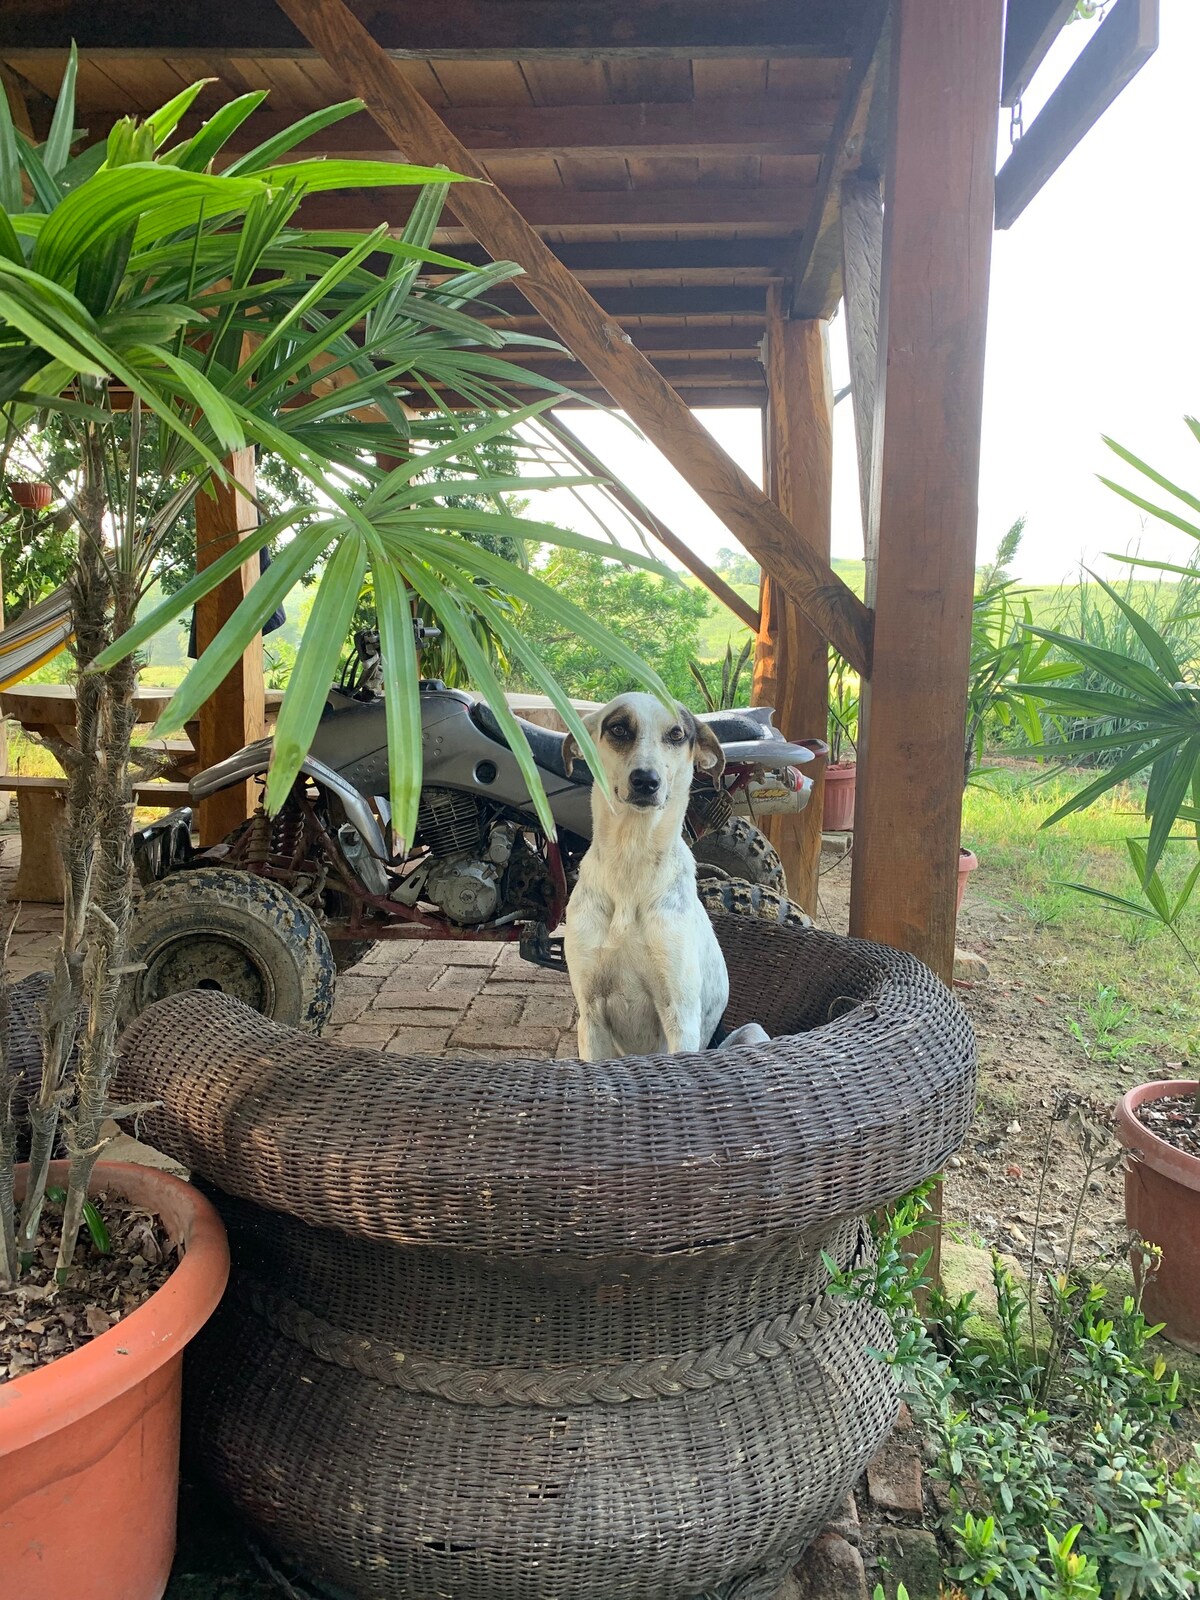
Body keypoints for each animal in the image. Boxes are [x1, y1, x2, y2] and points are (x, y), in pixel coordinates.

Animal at [563, 697, 732, 1062]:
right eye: (618, 728)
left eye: (677, 734)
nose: (646, 780)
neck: (631, 860)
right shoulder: (590, 1016)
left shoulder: (680, 1016)